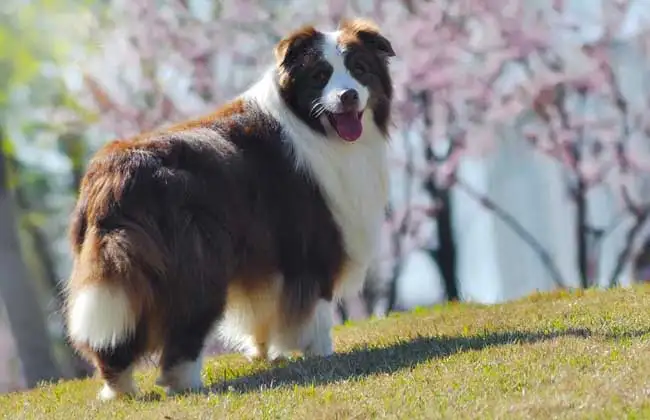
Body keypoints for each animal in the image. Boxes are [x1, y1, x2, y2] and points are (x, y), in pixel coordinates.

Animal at [64, 18, 394, 400]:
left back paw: (121, 391)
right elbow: (317, 308)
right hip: (196, 263)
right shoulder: (314, 241)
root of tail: (115, 172)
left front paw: (268, 353)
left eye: (360, 69)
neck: (312, 125)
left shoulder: (268, 256)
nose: (348, 96)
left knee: (116, 340)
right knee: (185, 327)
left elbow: (267, 308)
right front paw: (322, 353)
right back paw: (186, 383)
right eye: (320, 75)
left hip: (119, 268)